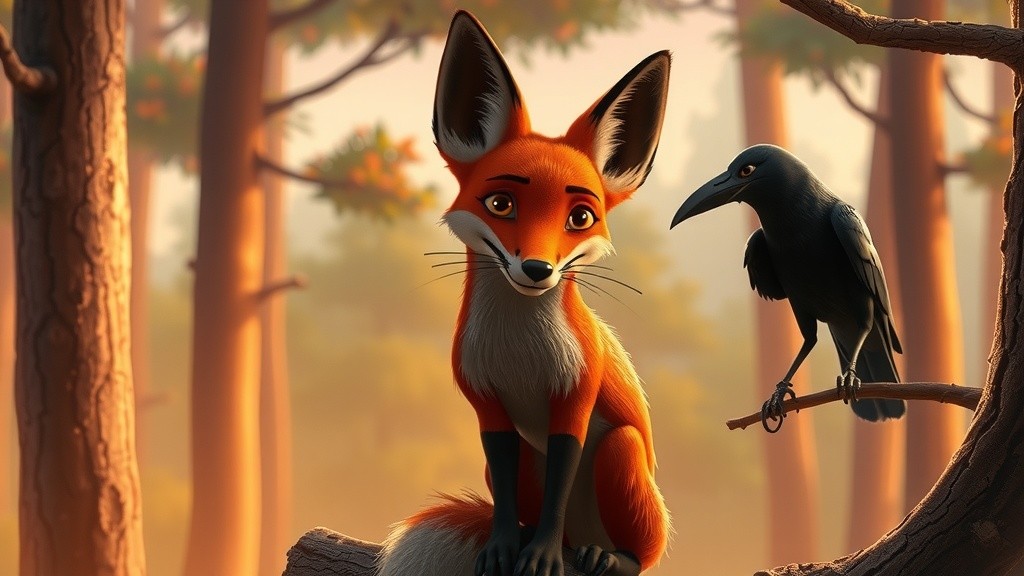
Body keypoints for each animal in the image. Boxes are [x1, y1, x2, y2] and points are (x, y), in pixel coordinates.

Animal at [377, 11, 672, 576]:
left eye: (580, 218)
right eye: (501, 204)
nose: (537, 269)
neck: (518, 353)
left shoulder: (574, 400)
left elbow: (561, 482)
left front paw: (543, 556)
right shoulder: (487, 408)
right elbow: (508, 502)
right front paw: (504, 547)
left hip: (622, 457)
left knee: (641, 553)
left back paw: (606, 556)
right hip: (514, 466)